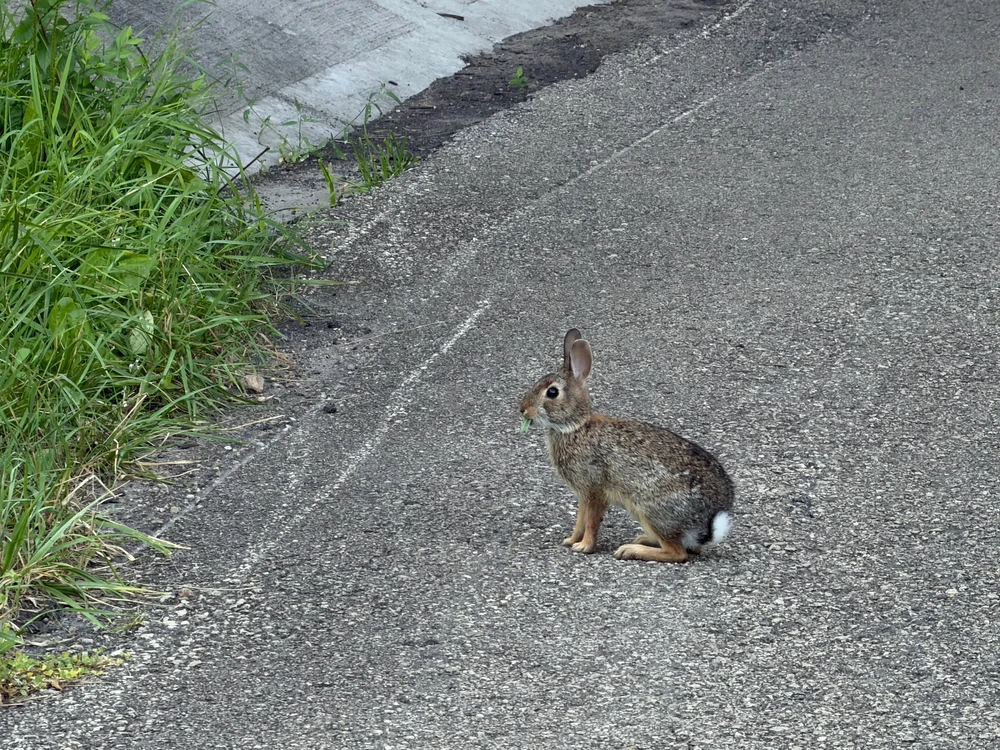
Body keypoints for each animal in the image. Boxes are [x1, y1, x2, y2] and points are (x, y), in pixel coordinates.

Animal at [519, 328, 734, 563]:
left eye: (552, 392)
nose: (522, 409)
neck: (576, 427)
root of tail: (707, 524)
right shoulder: (584, 495)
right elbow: (580, 520)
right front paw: (571, 540)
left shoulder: (595, 489)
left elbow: (591, 521)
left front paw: (584, 546)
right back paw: (642, 540)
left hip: (650, 508)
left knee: (677, 553)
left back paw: (631, 549)